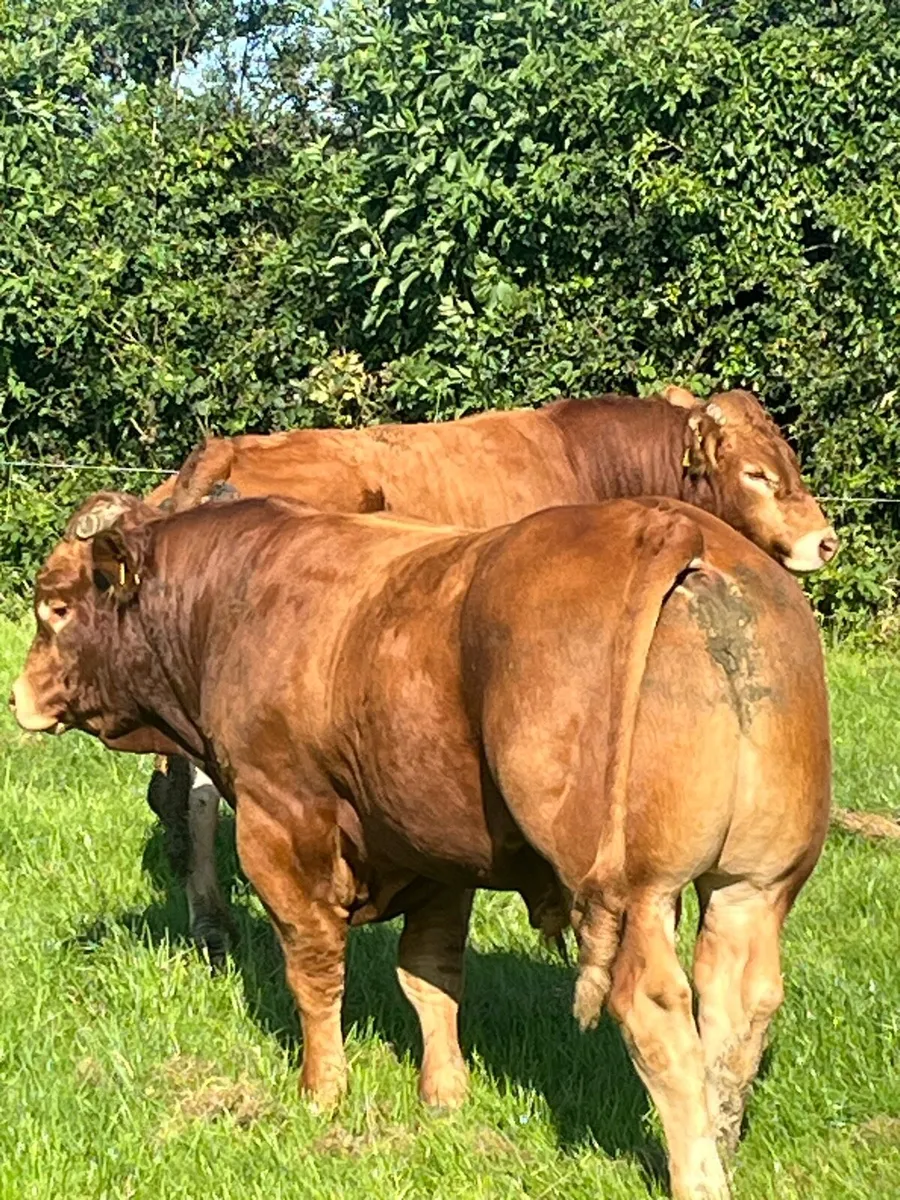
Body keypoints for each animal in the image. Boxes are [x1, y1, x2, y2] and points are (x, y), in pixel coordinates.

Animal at [12, 490, 831, 1200]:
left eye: (56, 607)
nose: (18, 695)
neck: (233, 599)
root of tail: (669, 524)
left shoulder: (281, 819)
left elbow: (314, 967)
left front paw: (321, 1092)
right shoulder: (435, 847)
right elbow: (430, 975)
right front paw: (445, 1095)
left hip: (637, 892)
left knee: (656, 1009)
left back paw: (697, 1176)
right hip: (757, 882)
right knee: (740, 1004)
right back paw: (722, 1144)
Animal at [143, 387, 838, 961]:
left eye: (790, 460)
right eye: (756, 473)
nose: (826, 541)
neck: (586, 461)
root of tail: (229, 448)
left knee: (189, 788)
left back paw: (210, 922)